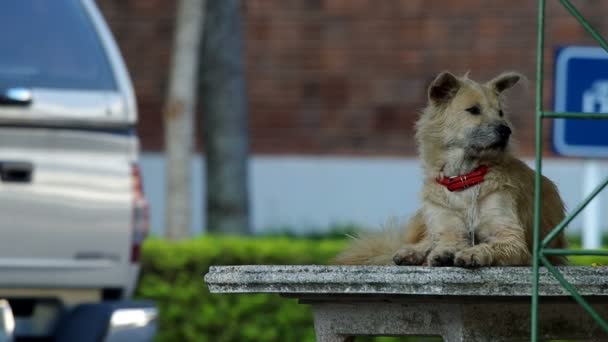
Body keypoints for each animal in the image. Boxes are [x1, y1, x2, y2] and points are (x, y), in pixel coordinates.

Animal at [334, 71, 568, 268]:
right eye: (473, 110)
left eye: (500, 112)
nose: (505, 130)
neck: (464, 178)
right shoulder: (449, 229)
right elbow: (446, 242)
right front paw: (443, 253)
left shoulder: (512, 238)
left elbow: (488, 245)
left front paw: (472, 253)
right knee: (426, 240)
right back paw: (411, 252)